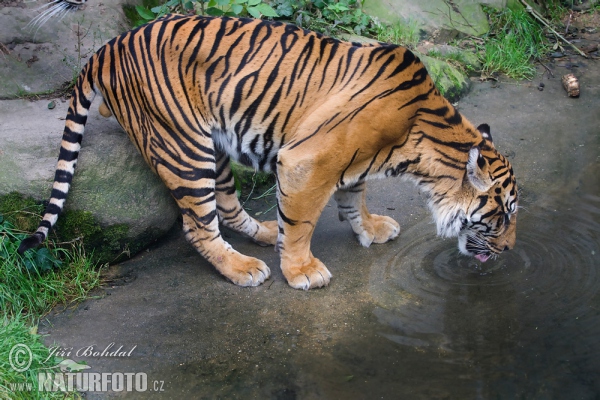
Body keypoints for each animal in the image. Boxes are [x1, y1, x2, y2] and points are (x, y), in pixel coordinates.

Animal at [18, 14, 516, 290]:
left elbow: (354, 197)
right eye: (503, 215)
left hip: (213, 146)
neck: (420, 142)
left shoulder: (353, 161)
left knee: (225, 205)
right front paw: (301, 271)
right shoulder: (307, 161)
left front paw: (371, 228)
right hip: (183, 147)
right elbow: (301, 224)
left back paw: (261, 231)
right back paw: (242, 268)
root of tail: (107, 47)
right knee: (198, 225)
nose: (511, 250)